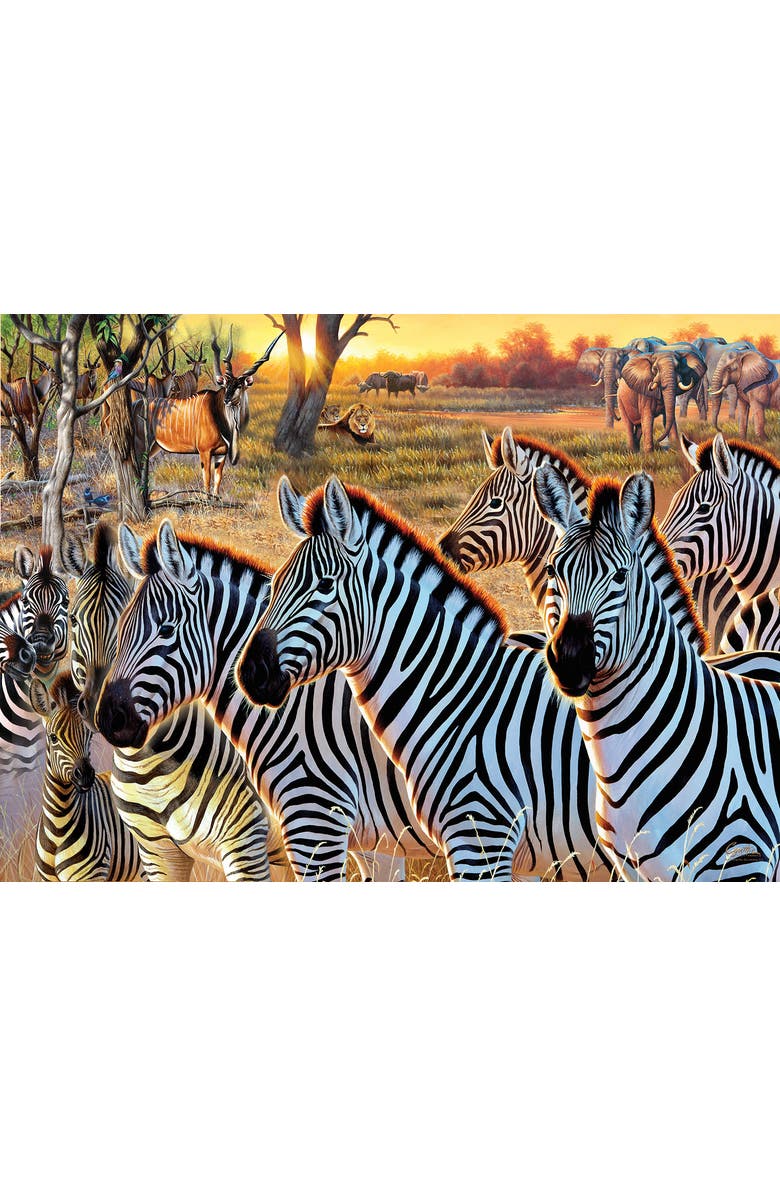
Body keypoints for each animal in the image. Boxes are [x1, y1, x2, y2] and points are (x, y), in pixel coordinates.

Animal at [64, 522, 289, 882]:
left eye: (123, 618)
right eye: (73, 619)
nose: (104, 709)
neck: (151, 770)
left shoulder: (245, 843)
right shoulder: (157, 853)